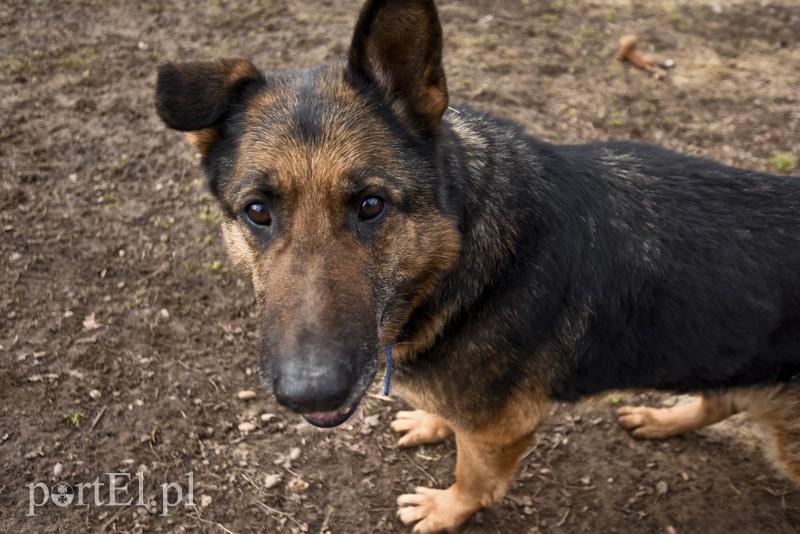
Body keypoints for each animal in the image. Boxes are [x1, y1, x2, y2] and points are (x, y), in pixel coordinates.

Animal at [156, 0, 800, 532]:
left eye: (371, 205)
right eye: (257, 211)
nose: (310, 394)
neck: (454, 260)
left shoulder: (502, 428)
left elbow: (476, 478)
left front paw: (446, 510)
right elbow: (450, 422)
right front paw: (432, 423)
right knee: (720, 400)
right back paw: (664, 419)